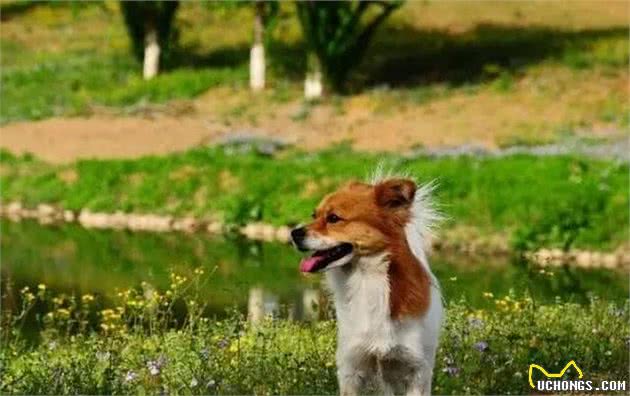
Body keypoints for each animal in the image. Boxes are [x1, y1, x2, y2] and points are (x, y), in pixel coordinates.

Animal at [292, 172, 444, 396]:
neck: (367, 280)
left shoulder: (416, 371)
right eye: (314, 215)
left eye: (333, 218)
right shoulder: (352, 367)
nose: (294, 233)